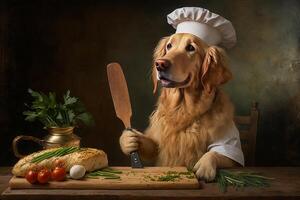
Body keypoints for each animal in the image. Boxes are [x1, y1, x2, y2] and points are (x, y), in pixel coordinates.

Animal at [120, 33, 240, 181]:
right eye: (169, 46)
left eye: (191, 48)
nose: (160, 64)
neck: (183, 109)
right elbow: (151, 145)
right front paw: (128, 139)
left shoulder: (229, 145)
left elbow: (217, 152)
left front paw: (204, 166)